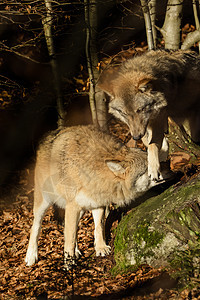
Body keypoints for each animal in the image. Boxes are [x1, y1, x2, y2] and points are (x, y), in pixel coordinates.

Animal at [25, 124, 157, 268]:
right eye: (148, 170)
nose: (166, 168)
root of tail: (48, 134)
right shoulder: (73, 206)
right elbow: (69, 237)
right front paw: (68, 263)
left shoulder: (97, 204)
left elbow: (98, 227)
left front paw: (100, 248)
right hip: (44, 202)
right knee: (36, 226)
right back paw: (31, 256)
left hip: (80, 210)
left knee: (72, 228)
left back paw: (77, 250)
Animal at [97, 50, 200, 180]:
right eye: (124, 113)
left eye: (140, 109)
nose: (136, 137)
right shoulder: (146, 127)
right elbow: (149, 143)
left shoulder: (159, 119)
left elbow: (152, 145)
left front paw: (154, 169)